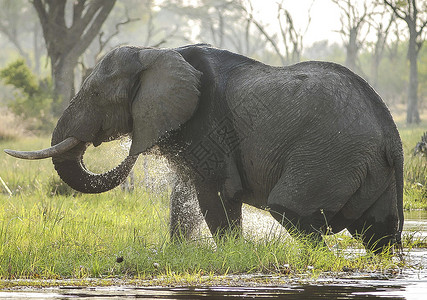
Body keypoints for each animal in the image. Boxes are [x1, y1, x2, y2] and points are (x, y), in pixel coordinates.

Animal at [5, 44, 404, 253]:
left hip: (330, 156)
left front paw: (231, 257)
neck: (159, 55)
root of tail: (391, 136)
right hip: (367, 168)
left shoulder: (207, 127)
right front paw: (178, 254)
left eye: (96, 94)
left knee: (292, 213)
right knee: (378, 231)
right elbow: (184, 196)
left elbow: (215, 195)